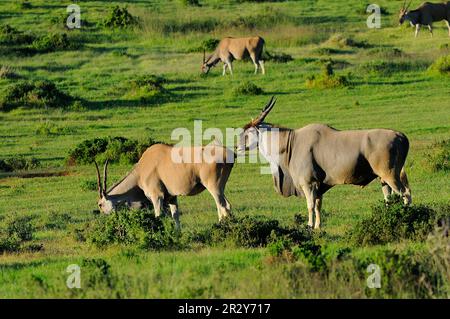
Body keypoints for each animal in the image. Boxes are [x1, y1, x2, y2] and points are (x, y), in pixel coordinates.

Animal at [95, 144, 236, 229]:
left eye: (100, 204)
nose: (103, 219)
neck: (140, 171)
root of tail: (229, 153)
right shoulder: (172, 198)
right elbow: (175, 216)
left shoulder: (157, 196)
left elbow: (158, 215)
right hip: (220, 188)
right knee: (226, 205)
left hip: (213, 187)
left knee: (222, 207)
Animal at [239, 97, 412, 230]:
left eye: (247, 133)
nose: (238, 147)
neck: (291, 143)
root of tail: (401, 136)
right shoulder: (318, 185)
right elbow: (318, 205)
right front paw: (318, 226)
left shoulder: (308, 184)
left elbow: (310, 205)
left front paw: (309, 226)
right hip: (383, 179)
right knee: (389, 198)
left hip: (390, 175)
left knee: (405, 193)